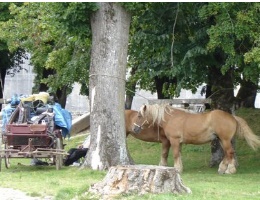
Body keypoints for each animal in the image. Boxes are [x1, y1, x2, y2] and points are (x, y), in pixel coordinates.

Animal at [132, 104, 260, 174]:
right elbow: (179, 155)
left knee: (229, 153)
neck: (171, 118)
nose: (134, 128)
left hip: (225, 140)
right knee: (227, 154)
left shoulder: (174, 140)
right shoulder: (179, 142)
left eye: (139, 115)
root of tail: (232, 117)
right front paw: (180, 168)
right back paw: (223, 168)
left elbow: (175, 155)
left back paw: (229, 170)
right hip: (221, 140)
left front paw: (177, 169)